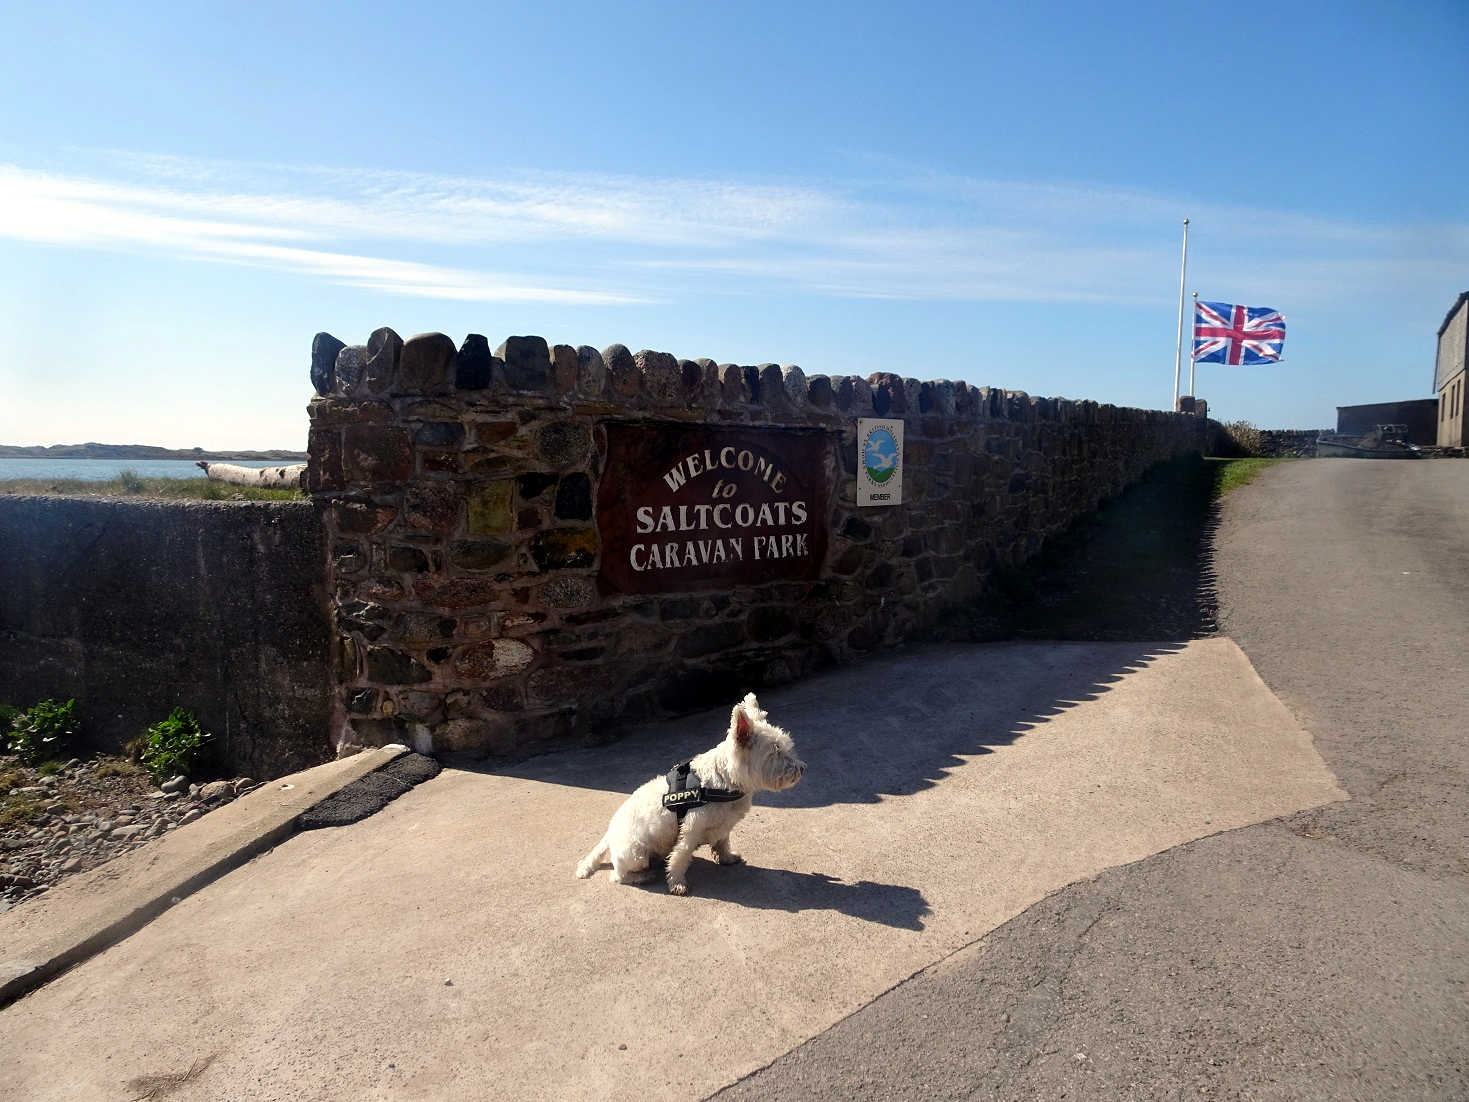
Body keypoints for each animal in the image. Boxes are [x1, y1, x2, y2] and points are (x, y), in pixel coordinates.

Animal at [572, 699, 805, 899]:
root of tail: (609, 833)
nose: (802, 769)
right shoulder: (691, 829)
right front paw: (677, 883)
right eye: (775, 752)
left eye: (786, 746)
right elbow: (680, 856)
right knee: (618, 875)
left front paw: (726, 858)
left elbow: (723, 841)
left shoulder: (723, 825)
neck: (724, 781)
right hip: (635, 853)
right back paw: (643, 875)